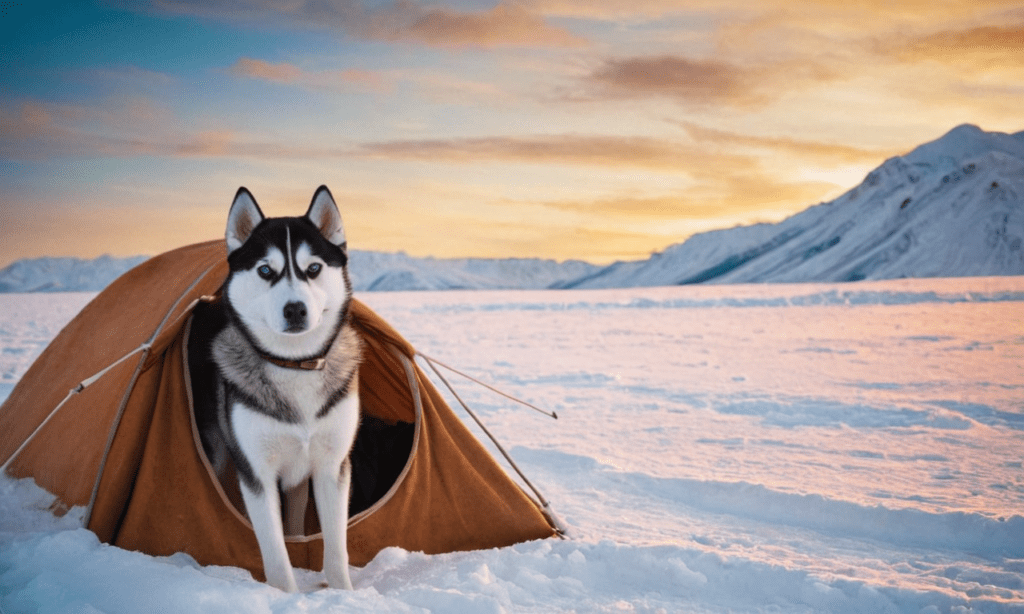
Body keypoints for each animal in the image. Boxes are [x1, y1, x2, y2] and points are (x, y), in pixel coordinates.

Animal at [190, 184, 362, 593]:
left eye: (313, 268)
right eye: (265, 270)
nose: (295, 309)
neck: (294, 366)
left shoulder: (333, 464)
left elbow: (336, 549)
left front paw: (345, 595)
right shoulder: (255, 471)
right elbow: (276, 554)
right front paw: (287, 596)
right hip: (216, 450)